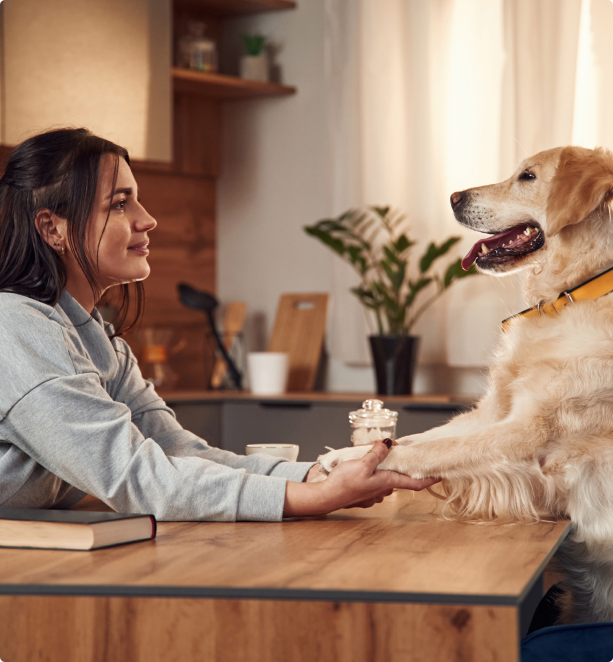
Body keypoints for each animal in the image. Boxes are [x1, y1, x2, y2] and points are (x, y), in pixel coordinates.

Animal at [318, 147, 612, 628]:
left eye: (528, 176)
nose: (454, 197)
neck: (572, 295)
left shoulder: (528, 439)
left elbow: (430, 450)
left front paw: (361, 463)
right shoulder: (493, 412)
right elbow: (419, 437)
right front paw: (347, 454)